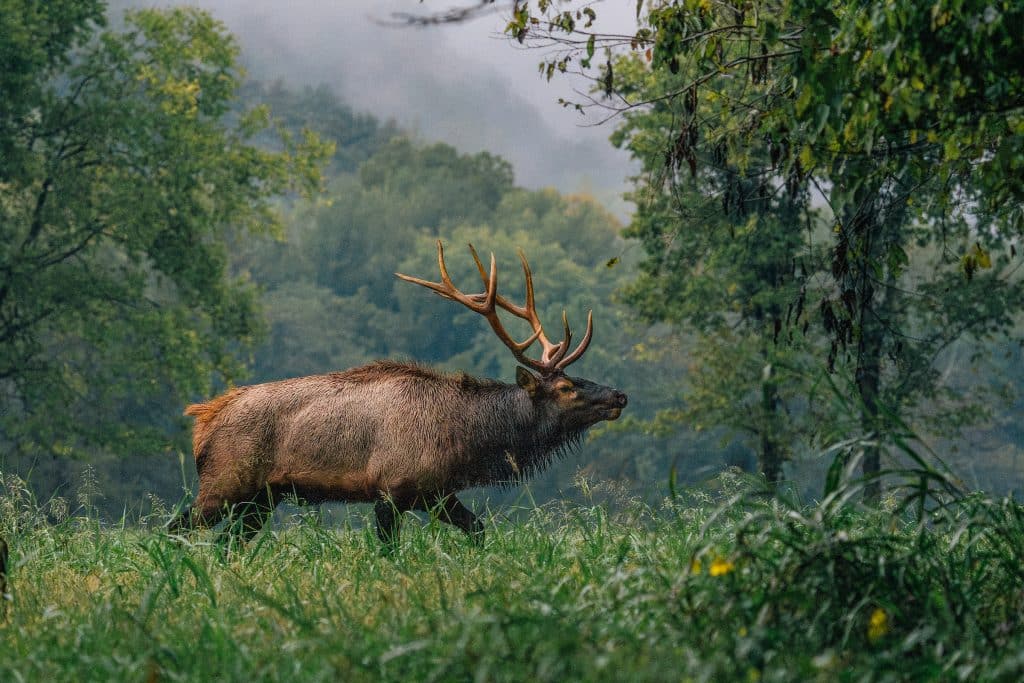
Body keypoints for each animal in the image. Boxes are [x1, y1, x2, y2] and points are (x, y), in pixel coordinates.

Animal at [168, 241, 627, 546]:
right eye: (566, 387)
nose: (619, 396)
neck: (466, 440)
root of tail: (203, 420)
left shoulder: (437, 493)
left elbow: (478, 530)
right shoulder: (390, 491)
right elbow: (389, 551)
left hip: (262, 498)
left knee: (226, 545)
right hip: (224, 483)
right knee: (173, 529)